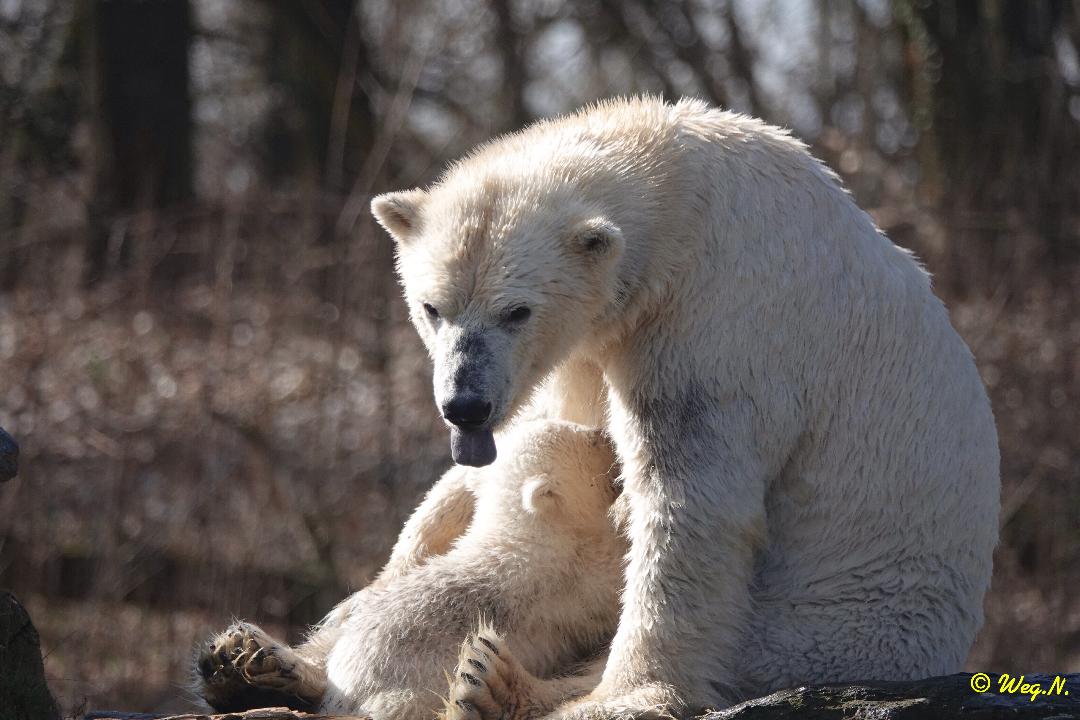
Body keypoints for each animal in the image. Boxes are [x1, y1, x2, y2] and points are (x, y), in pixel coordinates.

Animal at [190, 418, 622, 716]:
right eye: (589, 441)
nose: (606, 432)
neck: (517, 535)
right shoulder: (568, 577)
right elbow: (608, 590)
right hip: (409, 693)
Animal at [369, 97, 993, 720]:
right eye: (432, 307)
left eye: (516, 311)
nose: (465, 405)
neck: (678, 186)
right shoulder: (596, 343)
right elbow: (556, 426)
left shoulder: (719, 319)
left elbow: (689, 499)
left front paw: (625, 695)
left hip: (833, 622)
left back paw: (497, 684)